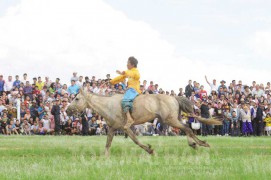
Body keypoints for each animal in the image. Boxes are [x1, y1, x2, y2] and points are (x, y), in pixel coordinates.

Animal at [67, 90, 222, 156]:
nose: (67, 110)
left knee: (187, 129)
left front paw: (150, 150)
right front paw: (105, 157)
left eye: (77, 98)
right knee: (186, 128)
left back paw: (200, 143)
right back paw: (196, 143)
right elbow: (108, 144)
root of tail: (174, 98)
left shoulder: (126, 127)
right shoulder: (112, 129)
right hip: (173, 120)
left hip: (170, 120)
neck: (109, 106)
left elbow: (135, 140)